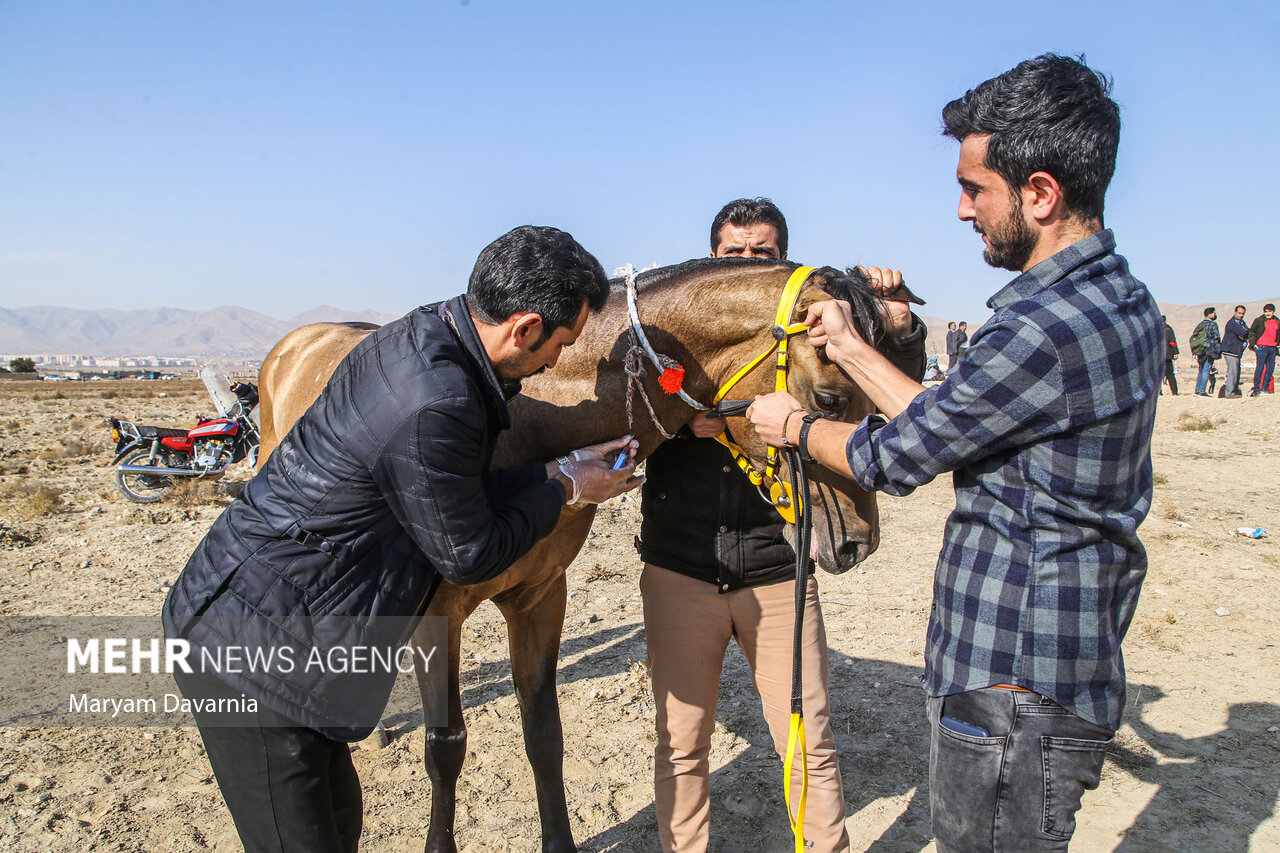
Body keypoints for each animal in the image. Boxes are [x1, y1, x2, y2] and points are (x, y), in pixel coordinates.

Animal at [254, 256, 906, 845]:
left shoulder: (540, 598)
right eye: (828, 399)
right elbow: (445, 748)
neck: (530, 419)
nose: (858, 542)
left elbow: (544, 734)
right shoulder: (439, 617)